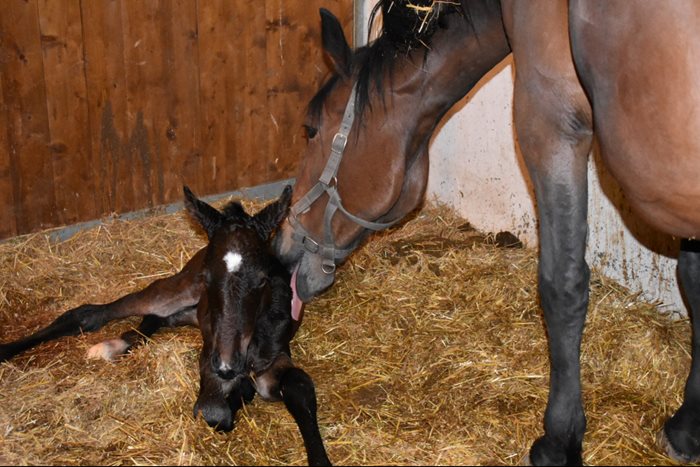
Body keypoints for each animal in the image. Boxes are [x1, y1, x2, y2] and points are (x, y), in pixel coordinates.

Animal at [0, 185, 332, 466]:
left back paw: (117, 345)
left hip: (188, 311)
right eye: (207, 278)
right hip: (176, 290)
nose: (227, 366)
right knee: (92, 313)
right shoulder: (210, 358)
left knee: (156, 319)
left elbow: (296, 384)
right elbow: (213, 410)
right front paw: (234, 396)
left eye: (263, 280)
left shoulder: (274, 354)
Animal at [270, 1, 700, 465]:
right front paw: (686, 427)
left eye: (311, 128)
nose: (282, 248)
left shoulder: (550, 120)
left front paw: (558, 441)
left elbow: (562, 286)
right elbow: (692, 280)